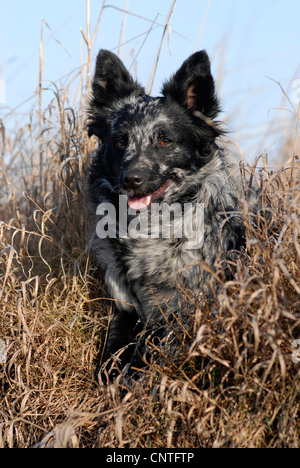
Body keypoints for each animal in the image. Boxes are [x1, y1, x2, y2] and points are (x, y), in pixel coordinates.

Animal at [86, 50, 246, 380]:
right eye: (119, 141)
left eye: (164, 140)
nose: (131, 179)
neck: (151, 230)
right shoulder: (124, 307)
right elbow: (111, 354)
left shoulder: (178, 311)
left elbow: (145, 354)